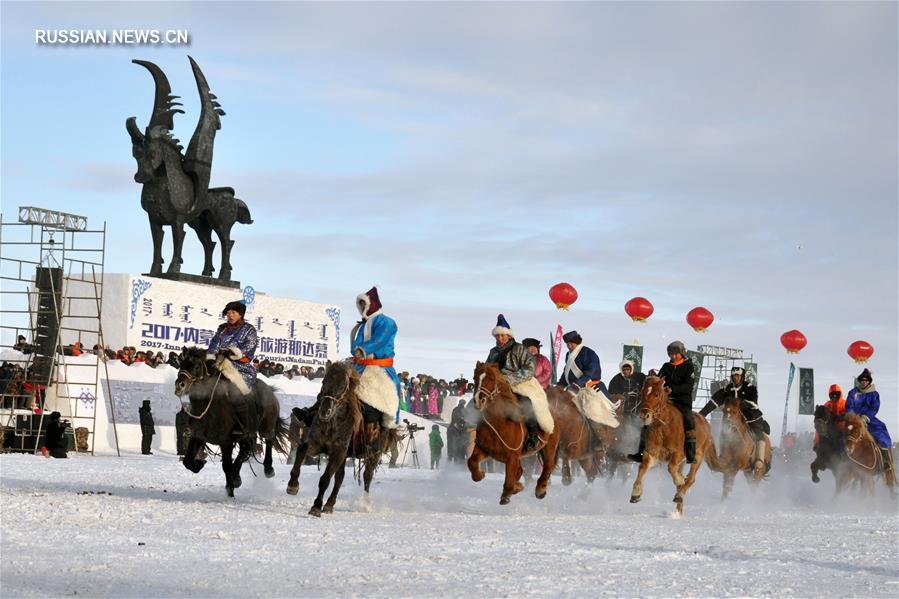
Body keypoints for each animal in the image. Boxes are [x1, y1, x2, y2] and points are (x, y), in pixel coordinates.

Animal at [174, 346, 290, 496]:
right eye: (181, 364)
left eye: (197, 366)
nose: (180, 385)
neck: (208, 406)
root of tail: (269, 390)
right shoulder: (197, 436)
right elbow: (187, 461)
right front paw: (199, 465)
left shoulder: (226, 442)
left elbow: (226, 466)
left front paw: (230, 491)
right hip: (246, 435)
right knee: (246, 450)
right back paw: (237, 478)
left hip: (266, 426)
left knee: (268, 440)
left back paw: (268, 469)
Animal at [286, 364, 396, 516]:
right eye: (324, 381)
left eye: (342, 386)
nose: (324, 411)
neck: (333, 422)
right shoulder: (316, 444)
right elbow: (302, 449)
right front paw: (293, 485)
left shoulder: (338, 451)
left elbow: (325, 479)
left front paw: (316, 506)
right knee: (340, 477)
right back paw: (329, 504)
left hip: (374, 454)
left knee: (367, 476)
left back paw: (364, 504)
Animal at [468, 360, 560, 506]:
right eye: (475, 378)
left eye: (492, 379)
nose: (478, 401)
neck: (499, 422)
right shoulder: (484, 449)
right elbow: (471, 462)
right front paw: (480, 475)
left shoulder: (512, 456)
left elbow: (509, 480)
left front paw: (507, 494)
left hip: (549, 446)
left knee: (548, 466)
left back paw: (540, 490)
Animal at [628, 376, 720, 516]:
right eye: (642, 393)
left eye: (657, 394)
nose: (644, 416)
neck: (663, 427)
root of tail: (706, 423)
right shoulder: (652, 453)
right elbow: (642, 467)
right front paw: (635, 494)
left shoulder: (678, 454)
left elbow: (671, 468)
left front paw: (680, 480)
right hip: (683, 463)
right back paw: (678, 510)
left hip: (697, 457)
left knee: (691, 479)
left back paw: (679, 494)